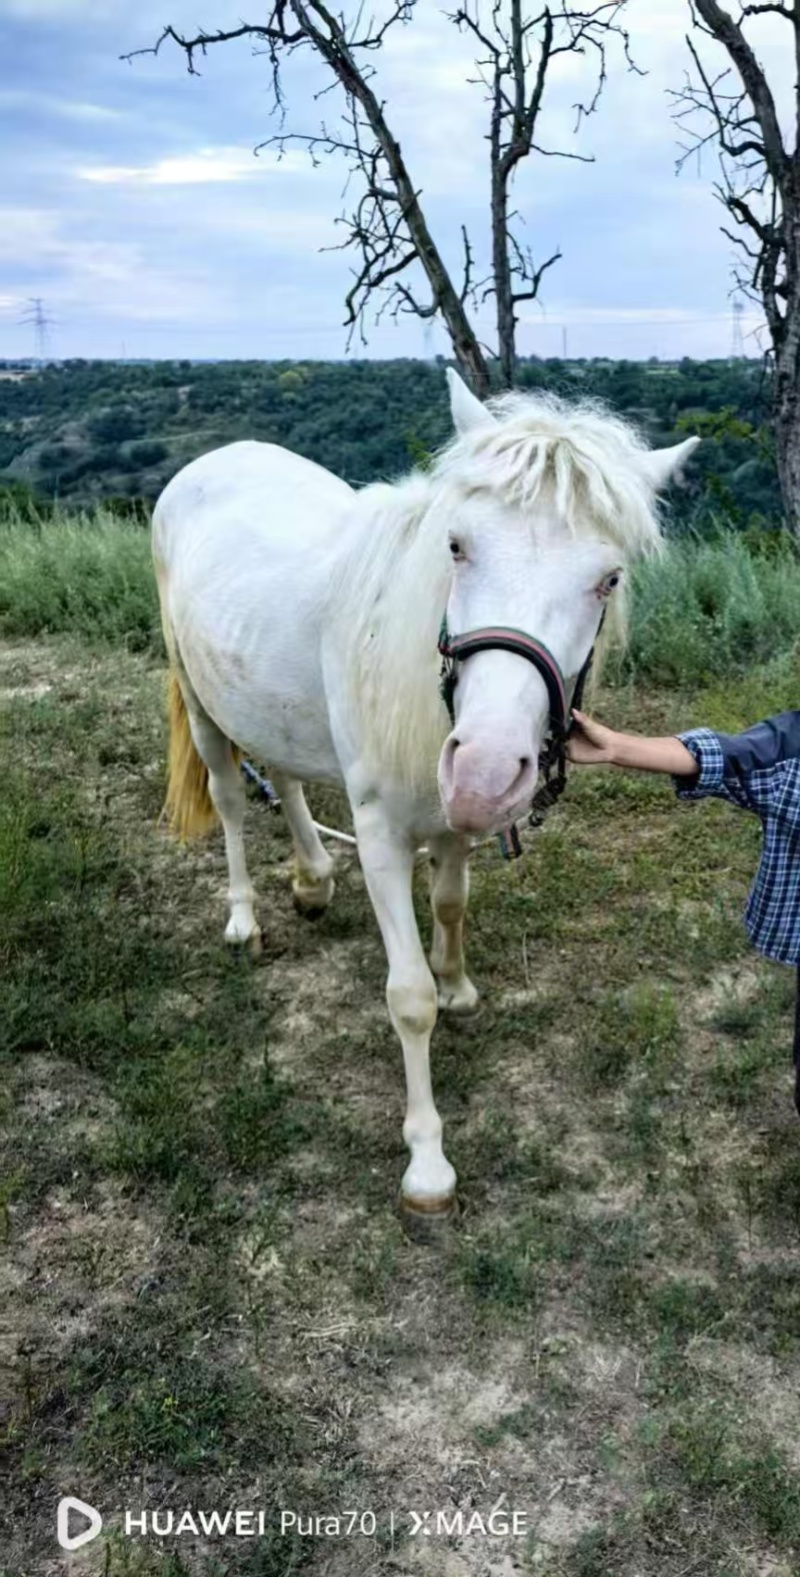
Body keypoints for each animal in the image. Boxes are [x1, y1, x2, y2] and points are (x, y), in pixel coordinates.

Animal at [152, 370, 697, 1228]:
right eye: (457, 545)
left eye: (608, 579)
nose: (486, 767)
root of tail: (213, 459)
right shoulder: (381, 833)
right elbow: (408, 998)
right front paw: (428, 1162)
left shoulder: (453, 817)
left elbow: (450, 902)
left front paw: (460, 984)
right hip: (202, 702)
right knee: (233, 799)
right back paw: (244, 916)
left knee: (290, 773)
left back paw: (313, 878)